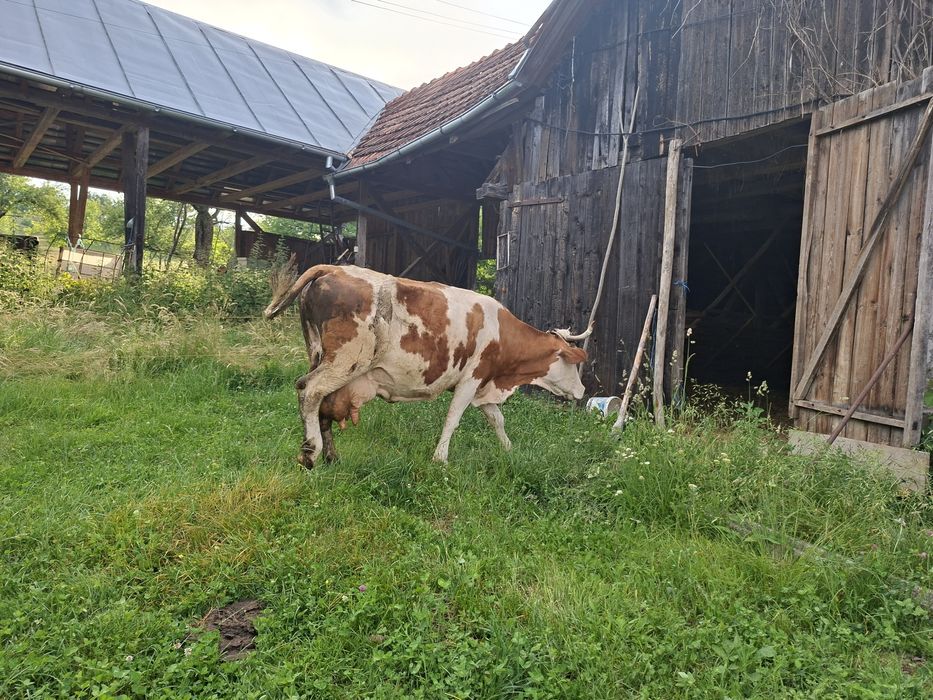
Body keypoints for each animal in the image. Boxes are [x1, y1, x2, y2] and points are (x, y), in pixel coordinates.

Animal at [264, 265, 591, 468]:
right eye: (571, 364)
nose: (583, 390)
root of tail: (333, 268)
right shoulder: (472, 378)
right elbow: (453, 419)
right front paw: (440, 458)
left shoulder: (484, 384)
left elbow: (497, 420)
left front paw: (509, 450)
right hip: (344, 361)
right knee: (309, 391)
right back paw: (311, 453)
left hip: (320, 355)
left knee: (322, 407)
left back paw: (332, 457)